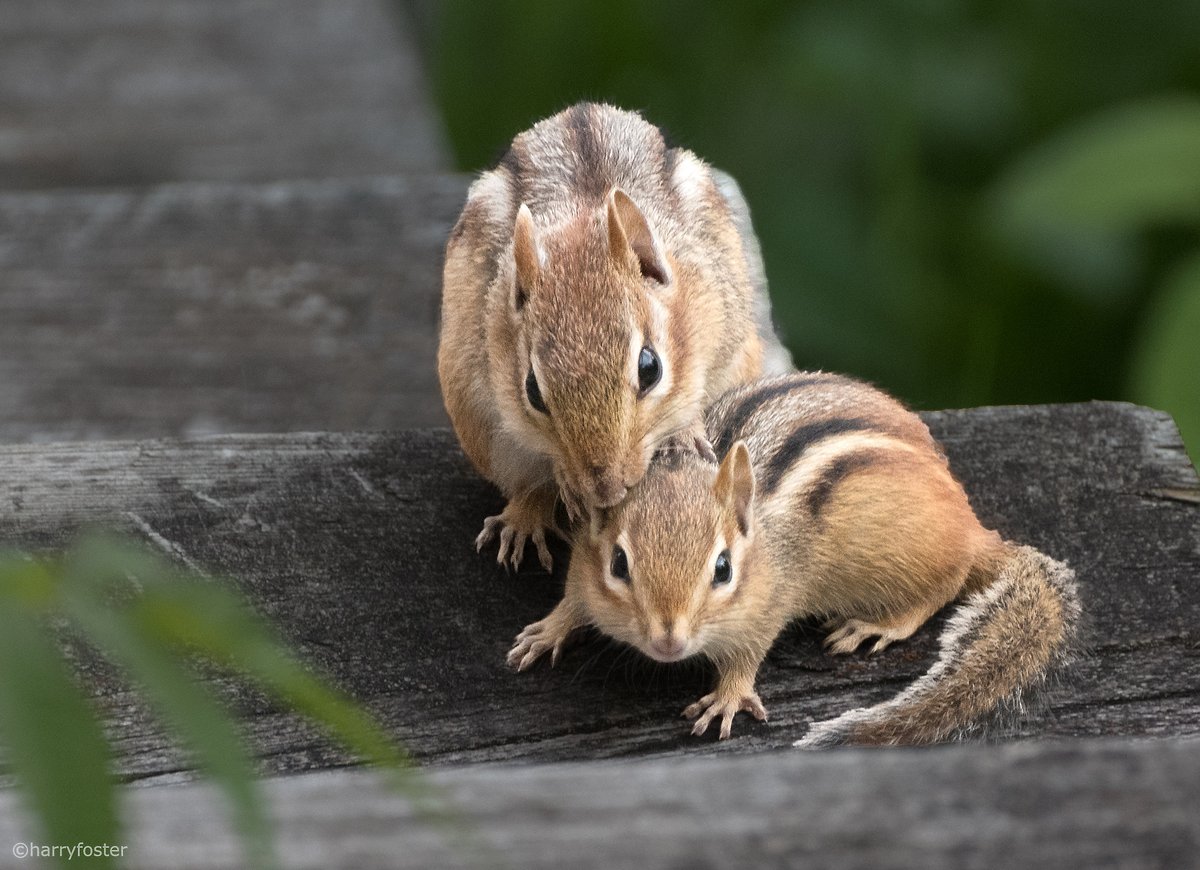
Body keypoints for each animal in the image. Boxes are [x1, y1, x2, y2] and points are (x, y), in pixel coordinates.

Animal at [438, 102, 791, 572]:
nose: (604, 488)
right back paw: (525, 518)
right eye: (532, 389)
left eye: (650, 367)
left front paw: (684, 434)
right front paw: (559, 484)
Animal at [507, 371, 1080, 745]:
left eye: (723, 569)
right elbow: (574, 599)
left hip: (919, 561)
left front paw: (729, 696)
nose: (668, 641)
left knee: (942, 587)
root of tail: (974, 530)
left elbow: (748, 654)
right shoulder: (583, 571)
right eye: (619, 565)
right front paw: (547, 630)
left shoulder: (768, 606)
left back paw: (875, 625)